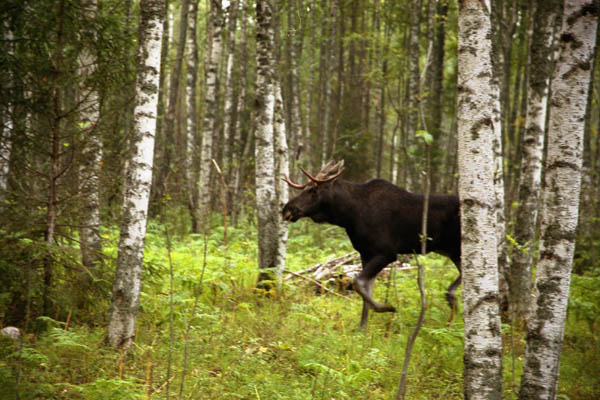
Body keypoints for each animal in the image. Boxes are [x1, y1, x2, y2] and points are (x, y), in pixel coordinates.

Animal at [282, 160, 461, 328]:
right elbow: (366, 288)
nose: (286, 210)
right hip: (451, 251)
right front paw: (362, 328)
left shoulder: (387, 253)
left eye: (313, 190)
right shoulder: (365, 253)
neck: (348, 216)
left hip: (456, 249)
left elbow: (358, 282)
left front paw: (386, 307)